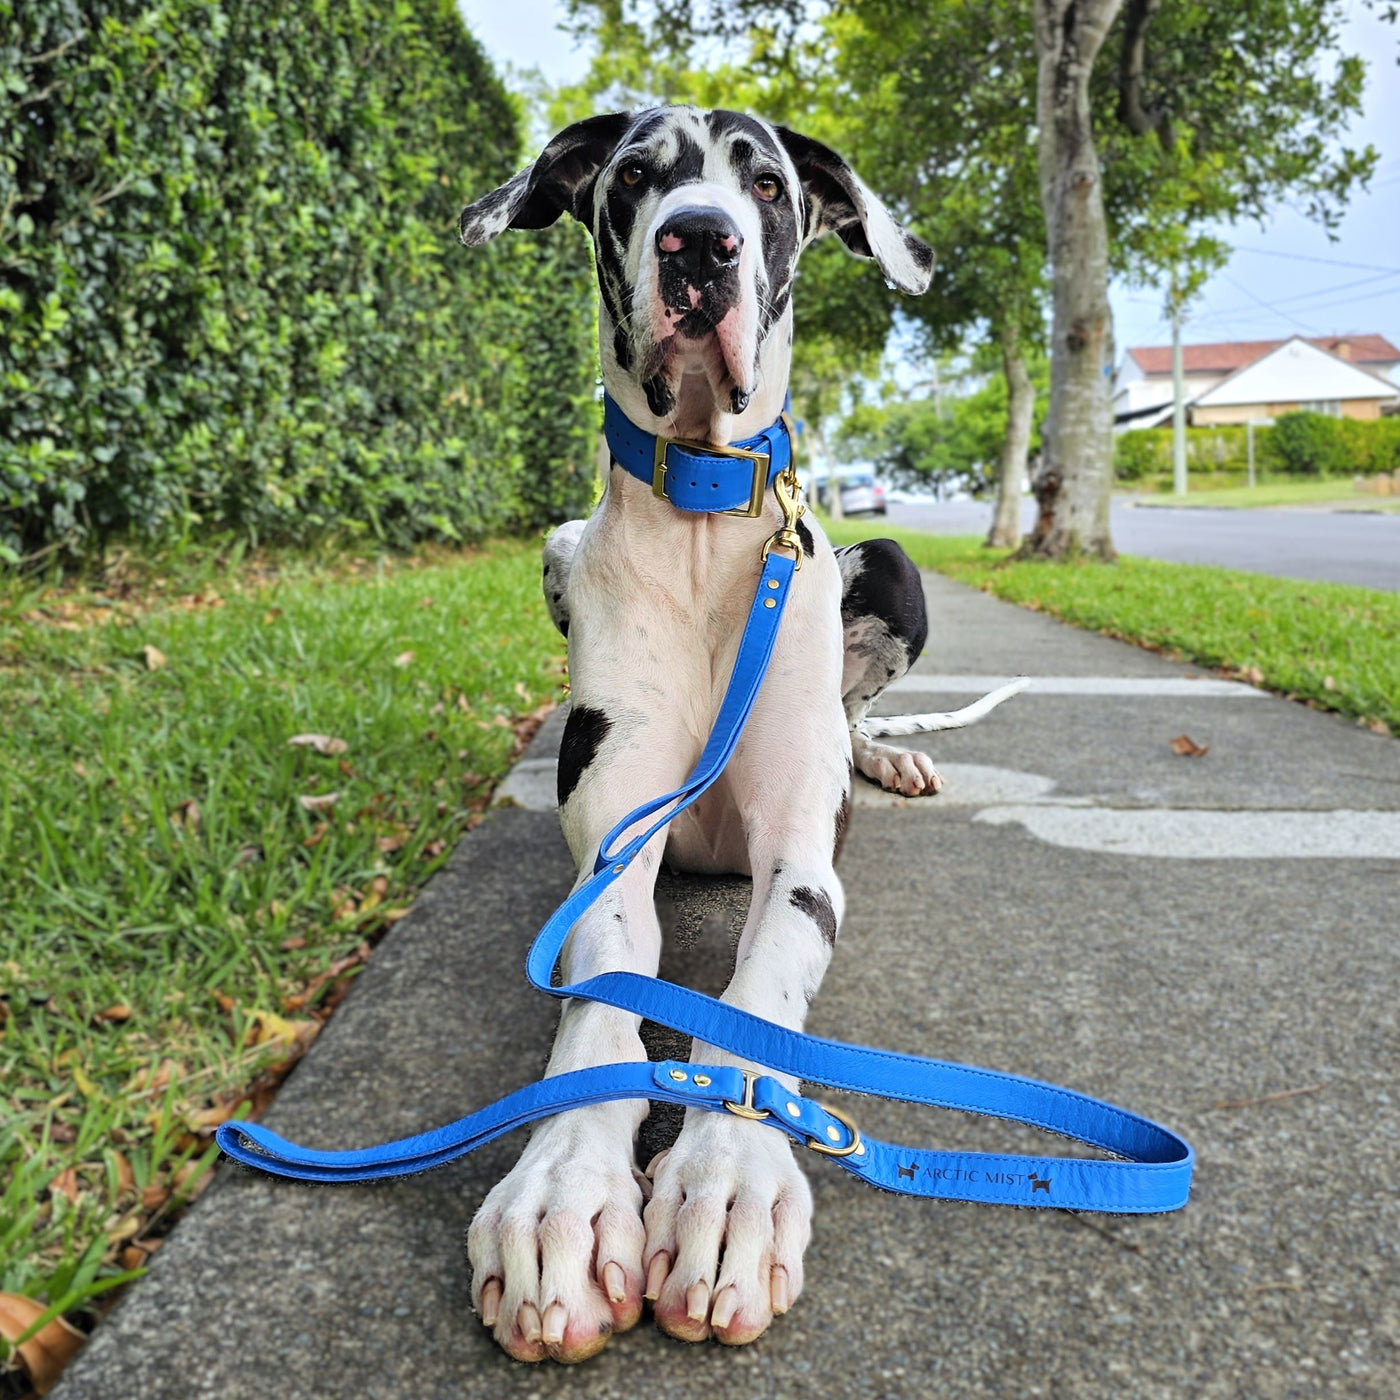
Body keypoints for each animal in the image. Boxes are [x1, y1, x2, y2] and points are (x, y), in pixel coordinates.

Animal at [456, 103, 985, 1360]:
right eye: (631, 177)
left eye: (769, 184)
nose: (699, 241)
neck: (701, 529)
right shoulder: (610, 853)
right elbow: (605, 994)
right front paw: (559, 1189)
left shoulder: (800, 855)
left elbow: (753, 991)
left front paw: (730, 1176)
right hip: (553, 547)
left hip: (890, 567)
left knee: (854, 701)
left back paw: (886, 751)